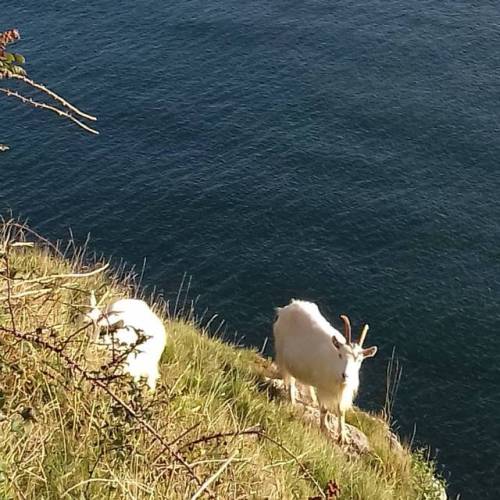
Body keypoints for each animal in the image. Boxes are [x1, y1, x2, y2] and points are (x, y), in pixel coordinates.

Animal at [276, 300, 376, 442]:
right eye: (340, 355)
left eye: (359, 360)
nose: (345, 375)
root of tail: (288, 307)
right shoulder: (323, 388)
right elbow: (324, 409)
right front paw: (324, 428)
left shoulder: (341, 393)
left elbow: (340, 411)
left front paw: (342, 436)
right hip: (283, 354)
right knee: (291, 381)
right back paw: (293, 401)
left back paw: (311, 399)